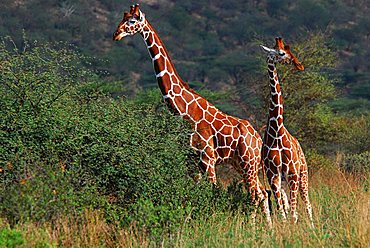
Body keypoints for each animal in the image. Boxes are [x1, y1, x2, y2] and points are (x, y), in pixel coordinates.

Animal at [112, 3, 272, 226]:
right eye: (122, 18)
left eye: (132, 21)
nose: (116, 34)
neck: (185, 112)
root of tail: (258, 140)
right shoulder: (192, 162)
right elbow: (190, 195)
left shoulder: (208, 159)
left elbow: (212, 193)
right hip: (242, 164)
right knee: (262, 193)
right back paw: (267, 228)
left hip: (248, 163)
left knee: (255, 194)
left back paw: (253, 226)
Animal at [258, 37, 314, 227]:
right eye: (281, 53)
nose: (299, 65)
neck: (277, 131)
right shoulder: (273, 176)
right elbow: (283, 212)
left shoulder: (292, 173)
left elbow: (293, 213)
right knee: (289, 206)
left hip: (303, 174)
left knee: (308, 204)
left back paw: (313, 228)